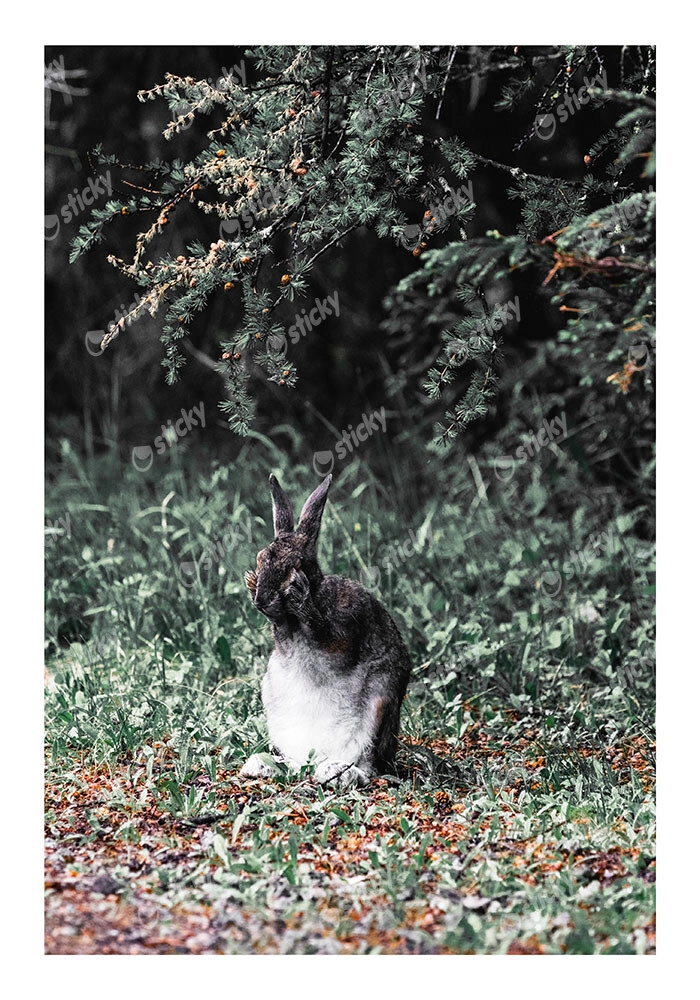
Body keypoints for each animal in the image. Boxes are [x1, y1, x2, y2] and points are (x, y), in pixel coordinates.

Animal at [240, 473, 412, 787]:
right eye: (260, 558)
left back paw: (336, 772)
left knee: (368, 767)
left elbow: (325, 633)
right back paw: (263, 765)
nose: (260, 599)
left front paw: (301, 598)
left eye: (296, 565)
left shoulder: (347, 625)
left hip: (379, 706)